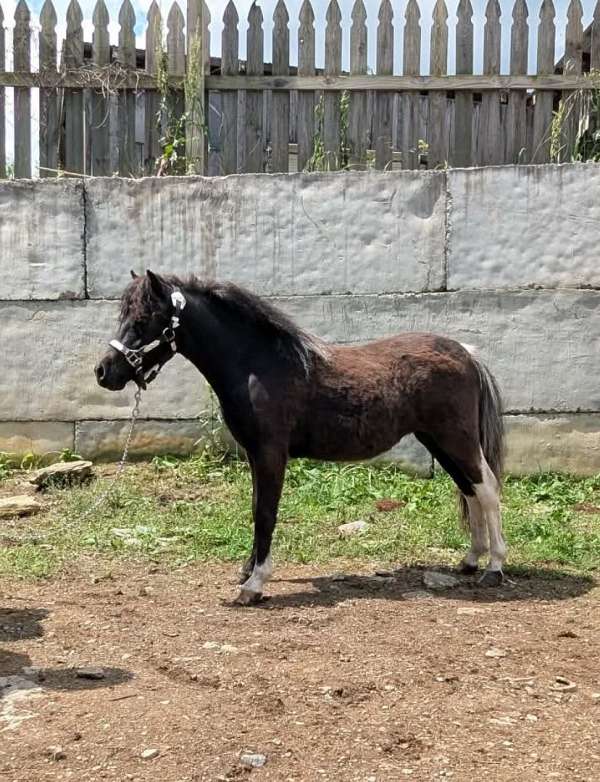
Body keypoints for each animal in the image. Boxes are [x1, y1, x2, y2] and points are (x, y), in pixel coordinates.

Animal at [95, 270, 506, 605]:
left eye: (143, 320)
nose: (103, 372)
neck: (259, 365)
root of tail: (465, 353)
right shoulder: (254, 454)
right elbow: (256, 507)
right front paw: (247, 571)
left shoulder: (271, 453)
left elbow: (266, 512)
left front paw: (254, 586)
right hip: (438, 441)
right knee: (470, 490)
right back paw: (470, 560)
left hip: (456, 439)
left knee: (487, 490)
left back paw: (494, 568)